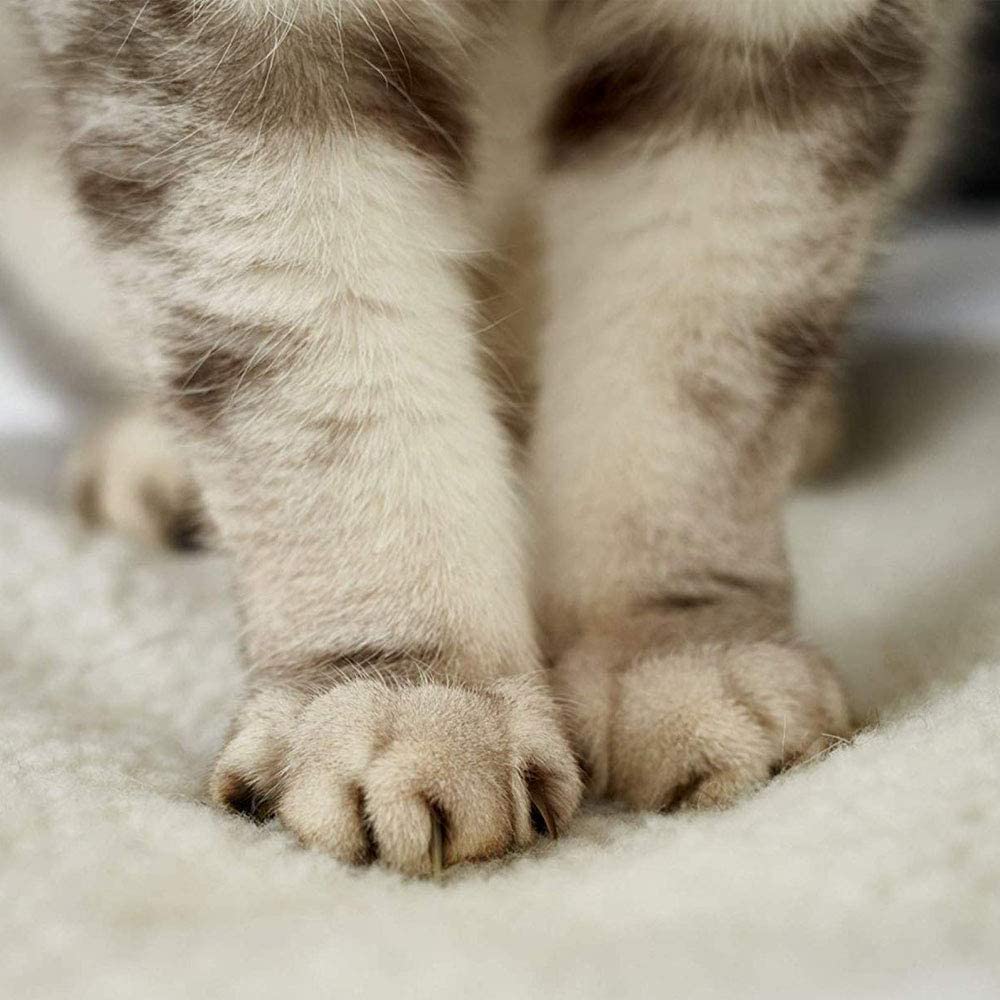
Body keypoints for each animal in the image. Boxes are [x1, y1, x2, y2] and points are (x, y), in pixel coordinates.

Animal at [5, 0, 976, 876]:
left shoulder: (763, 49)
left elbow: (681, 370)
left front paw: (675, 649)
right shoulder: (226, 47)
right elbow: (332, 380)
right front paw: (411, 696)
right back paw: (157, 466)